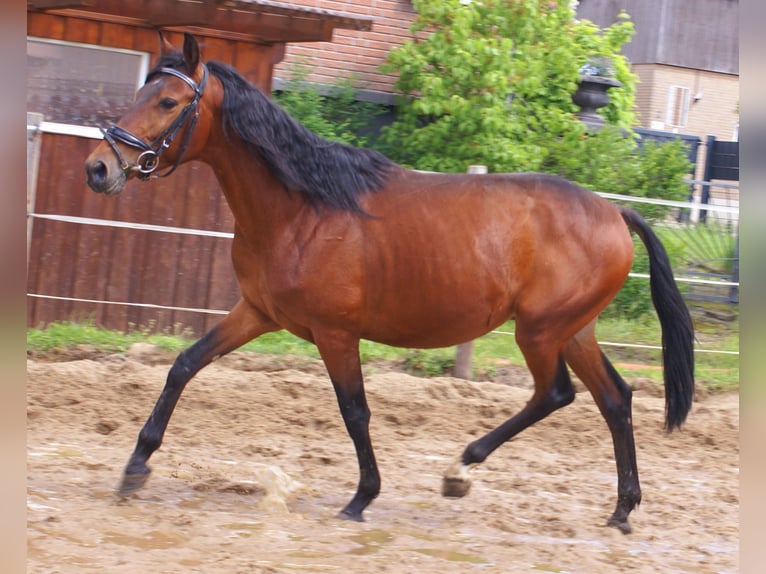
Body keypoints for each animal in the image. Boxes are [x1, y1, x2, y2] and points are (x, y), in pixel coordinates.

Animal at [84, 33, 694, 534]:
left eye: (167, 102)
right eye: (143, 91)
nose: (98, 168)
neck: (303, 209)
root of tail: (616, 213)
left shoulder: (335, 333)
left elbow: (355, 411)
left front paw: (362, 498)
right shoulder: (257, 312)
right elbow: (184, 364)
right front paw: (135, 467)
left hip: (540, 331)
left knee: (557, 393)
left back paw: (461, 469)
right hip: (573, 329)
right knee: (614, 398)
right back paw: (621, 510)